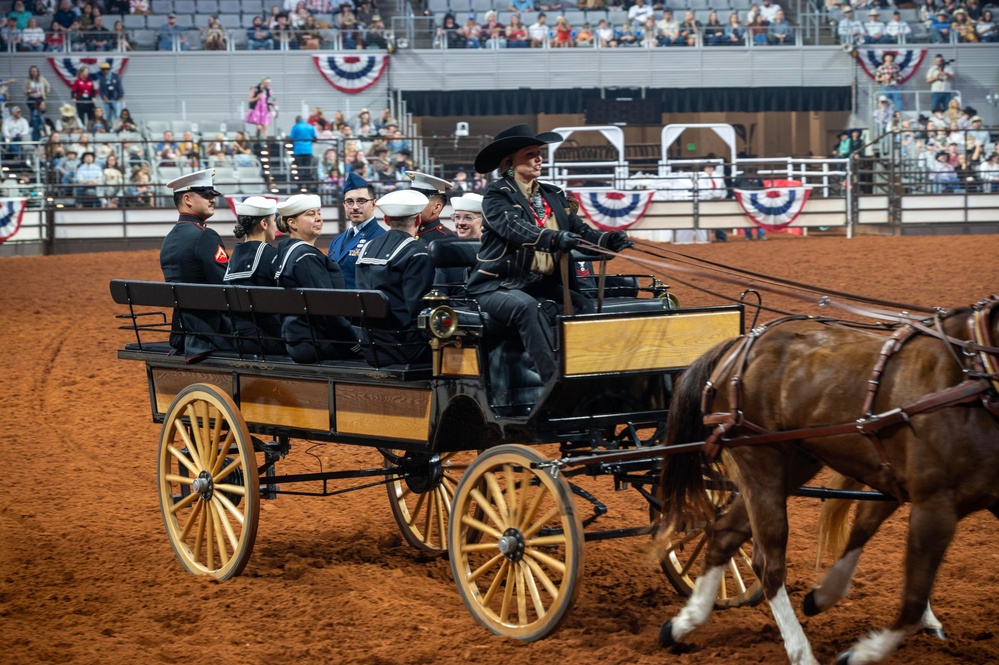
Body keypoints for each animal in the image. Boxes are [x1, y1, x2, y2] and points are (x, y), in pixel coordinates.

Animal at [660, 300, 996, 664]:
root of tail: (739, 344)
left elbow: (863, 527)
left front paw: (824, 595)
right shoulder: (935, 503)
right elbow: (912, 601)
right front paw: (861, 653)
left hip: (790, 465)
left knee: (725, 533)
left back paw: (683, 624)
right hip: (759, 461)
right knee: (768, 563)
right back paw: (801, 652)